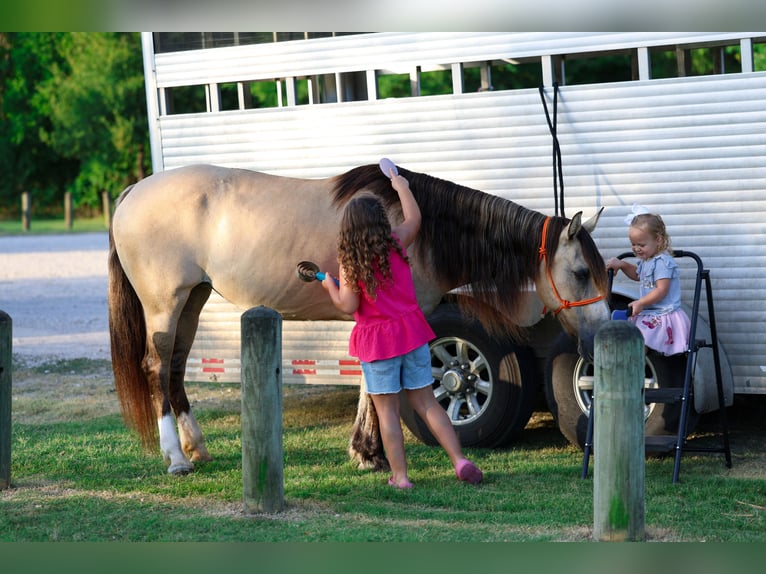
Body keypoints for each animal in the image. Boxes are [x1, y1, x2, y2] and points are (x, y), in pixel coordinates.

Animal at [108, 163, 609, 475]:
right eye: (582, 272)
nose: (601, 335)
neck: (422, 230)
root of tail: (134, 192)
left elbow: (372, 382)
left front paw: (370, 452)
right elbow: (376, 382)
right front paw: (371, 454)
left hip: (193, 299)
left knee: (175, 369)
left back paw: (198, 448)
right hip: (164, 305)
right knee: (156, 368)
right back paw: (176, 458)